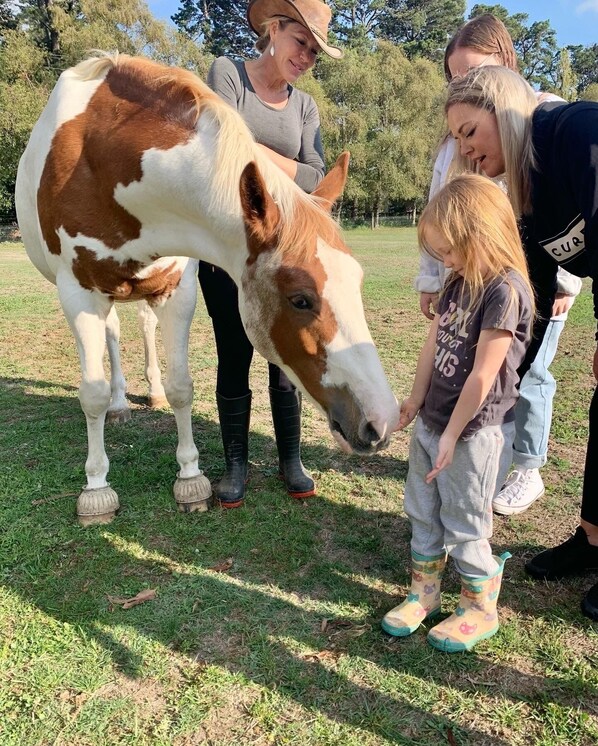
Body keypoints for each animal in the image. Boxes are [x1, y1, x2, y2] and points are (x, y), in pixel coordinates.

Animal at [15, 52, 398, 524]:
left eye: (357, 282)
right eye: (300, 299)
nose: (381, 423)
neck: (103, 157)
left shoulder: (176, 288)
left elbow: (183, 386)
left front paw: (189, 479)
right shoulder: (78, 293)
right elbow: (92, 395)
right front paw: (97, 489)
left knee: (141, 327)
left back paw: (150, 393)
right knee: (112, 340)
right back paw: (120, 405)